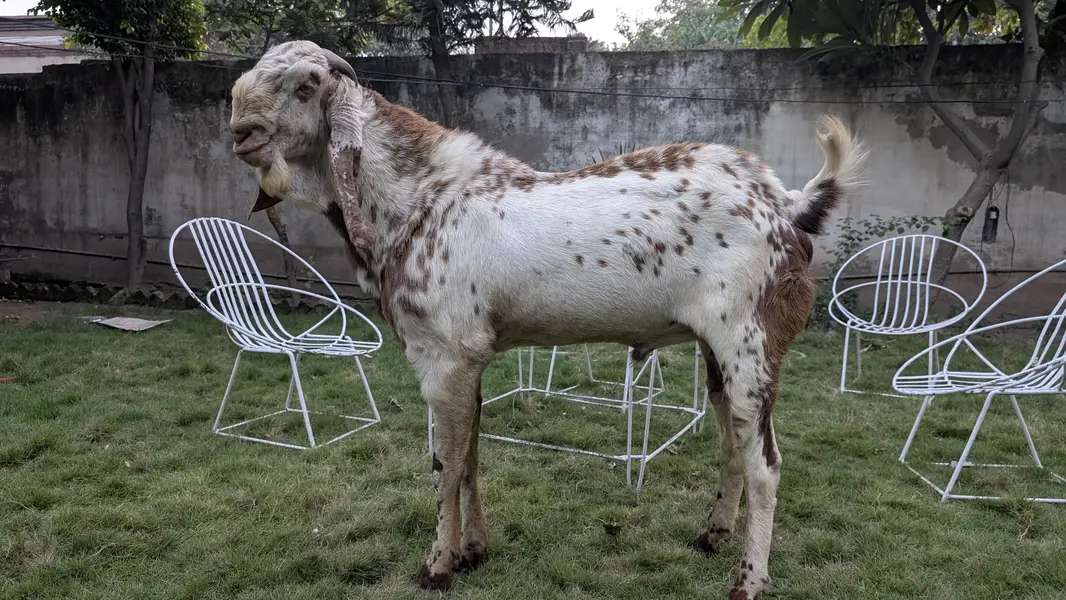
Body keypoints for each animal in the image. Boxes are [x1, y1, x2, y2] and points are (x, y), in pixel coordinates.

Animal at [227, 40, 867, 600]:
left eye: (306, 86)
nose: (241, 131)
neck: (419, 203)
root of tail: (785, 205)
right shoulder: (471, 360)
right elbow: (471, 457)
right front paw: (474, 551)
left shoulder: (443, 356)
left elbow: (444, 466)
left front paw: (437, 566)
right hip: (720, 350)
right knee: (732, 440)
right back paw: (713, 535)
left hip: (751, 341)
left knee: (765, 465)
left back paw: (749, 580)